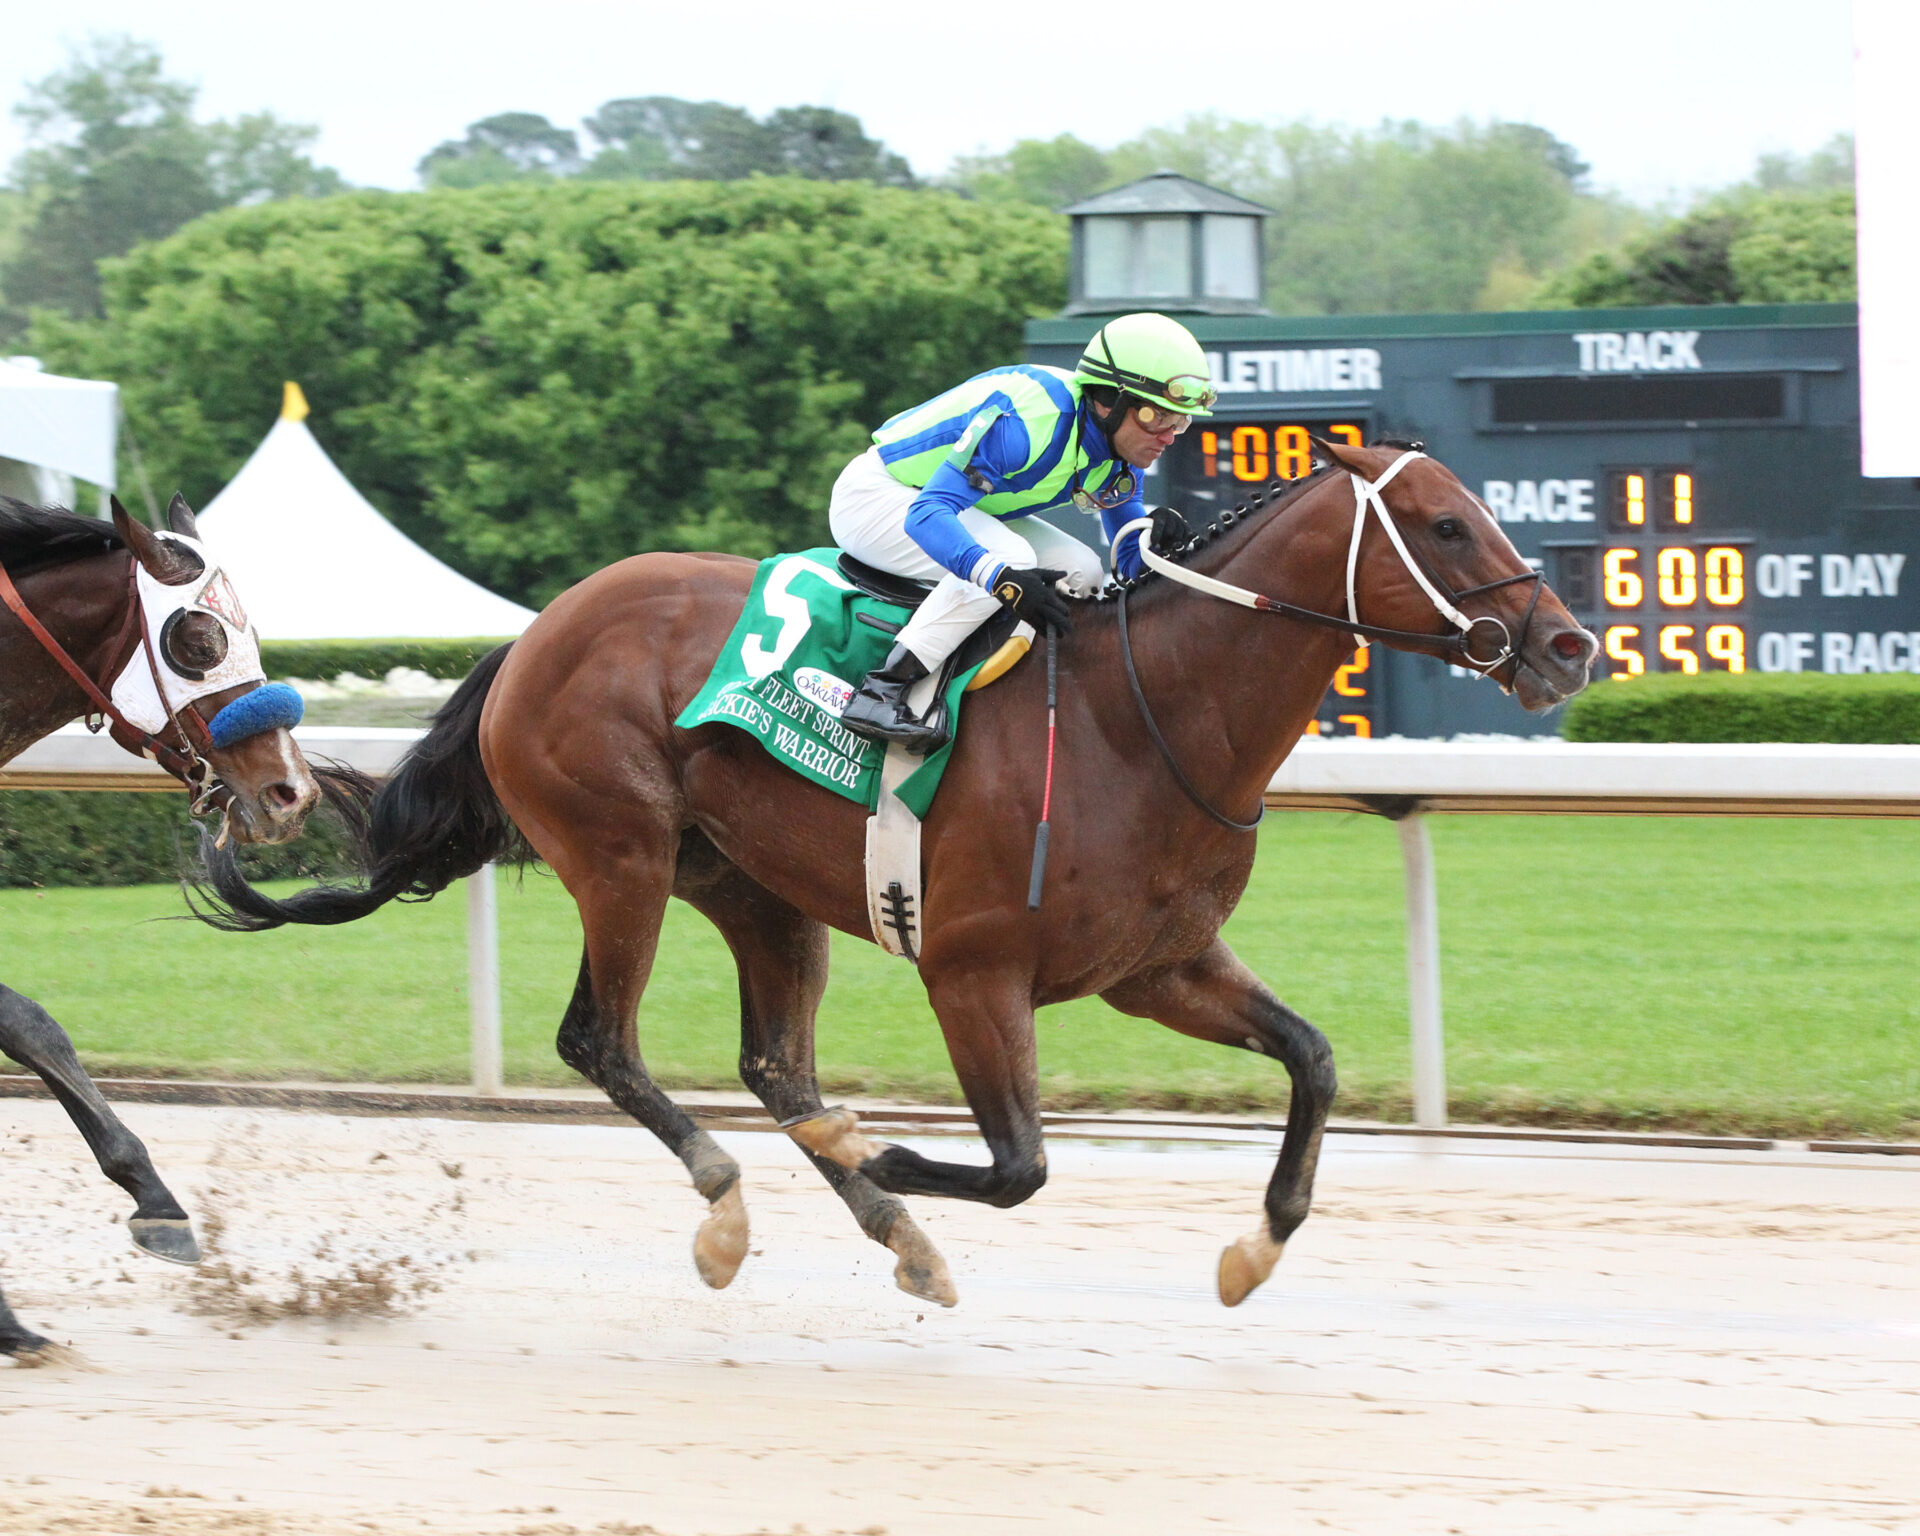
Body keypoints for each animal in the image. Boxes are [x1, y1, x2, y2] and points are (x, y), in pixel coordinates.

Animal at [202, 441, 1597, 1305]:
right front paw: (879, 1154)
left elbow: (1312, 1059)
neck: (1143, 716)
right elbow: (1022, 1166)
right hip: (621, 853)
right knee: (602, 1039)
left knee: (775, 1064)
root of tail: (534, 632)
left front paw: (1253, 1248)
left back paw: (897, 1233)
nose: (1569, 645)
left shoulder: (1157, 966)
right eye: (1443, 523)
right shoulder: (974, 969)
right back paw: (736, 1207)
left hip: (751, 886)